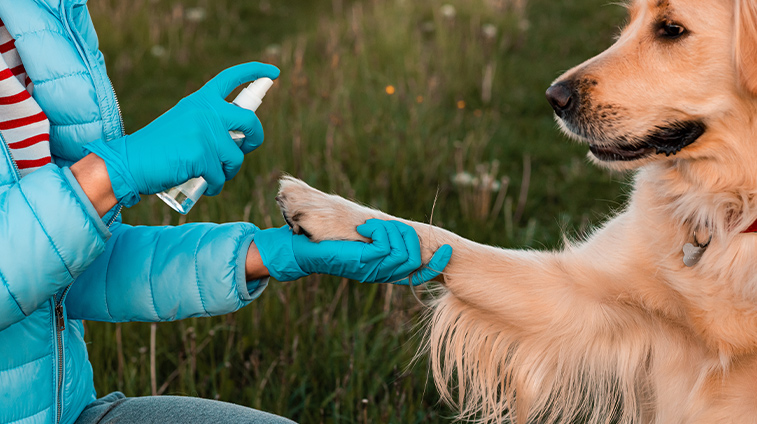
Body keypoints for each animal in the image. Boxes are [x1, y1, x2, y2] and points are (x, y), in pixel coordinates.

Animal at [274, 0, 756, 422]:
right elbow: (450, 241)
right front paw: (320, 207)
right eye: (628, 23)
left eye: (671, 29)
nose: (554, 98)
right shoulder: (572, 297)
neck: (730, 210)